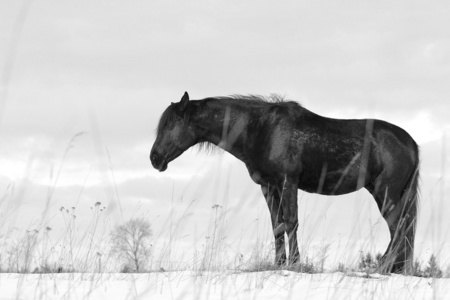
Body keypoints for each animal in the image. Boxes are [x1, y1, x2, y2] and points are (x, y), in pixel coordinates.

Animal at [150, 92, 418, 274]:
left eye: (171, 124)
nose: (154, 158)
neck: (260, 129)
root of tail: (410, 143)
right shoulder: (269, 187)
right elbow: (277, 225)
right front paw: (278, 263)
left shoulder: (288, 182)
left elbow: (291, 222)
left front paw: (295, 263)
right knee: (403, 228)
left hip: (386, 192)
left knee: (398, 227)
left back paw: (383, 267)